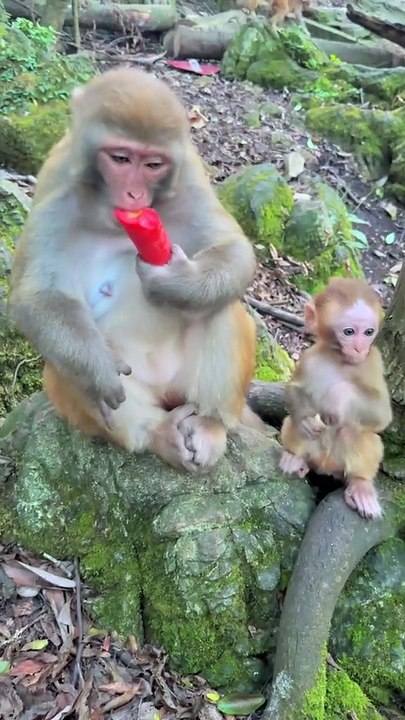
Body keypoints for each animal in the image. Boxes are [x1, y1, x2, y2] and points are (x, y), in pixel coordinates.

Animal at [9, 67, 269, 475]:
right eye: (120, 158)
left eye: (152, 164)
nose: (134, 196)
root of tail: (164, 390)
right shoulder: (56, 186)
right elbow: (36, 297)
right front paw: (99, 370)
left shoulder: (189, 178)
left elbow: (234, 249)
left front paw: (175, 281)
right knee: (64, 368)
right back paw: (157, 434)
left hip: (183, 385)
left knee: (220, 307)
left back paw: (209, 423)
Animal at [278, 277, 392, 519]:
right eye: (349, 332)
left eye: (369, 332)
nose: (359, 348)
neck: (339, 359)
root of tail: (325, 466)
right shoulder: (309, 357)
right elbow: (294, 389)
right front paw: (305, 420)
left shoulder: (373, 360)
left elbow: (381, 414)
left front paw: (336, 395)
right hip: (314, 454)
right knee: (293, 423)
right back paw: (295, 458)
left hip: (340, 464)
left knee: (356, 432)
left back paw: (360, 486)